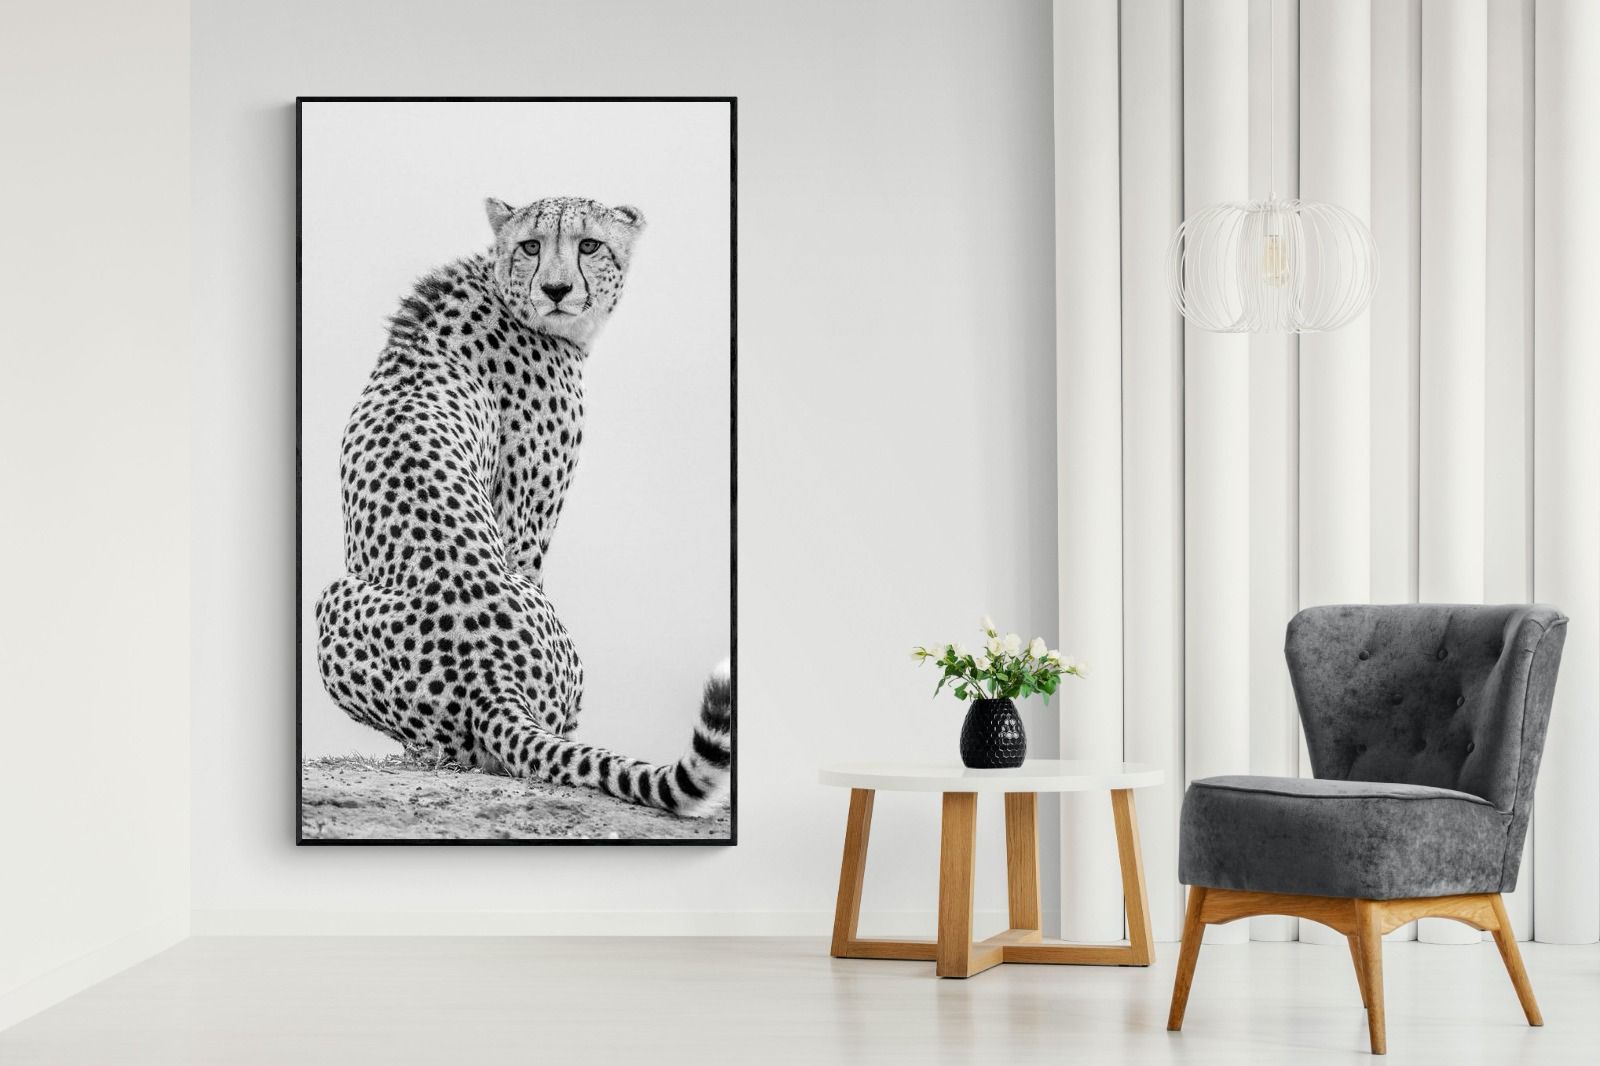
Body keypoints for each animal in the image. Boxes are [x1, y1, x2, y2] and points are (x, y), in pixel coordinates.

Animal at [314, 195, 732, 821]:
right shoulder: (525, 525)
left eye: (589, 244)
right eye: (531, 245)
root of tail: (490, 678)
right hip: (336, 599)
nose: (557, 289)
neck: (500, 287)